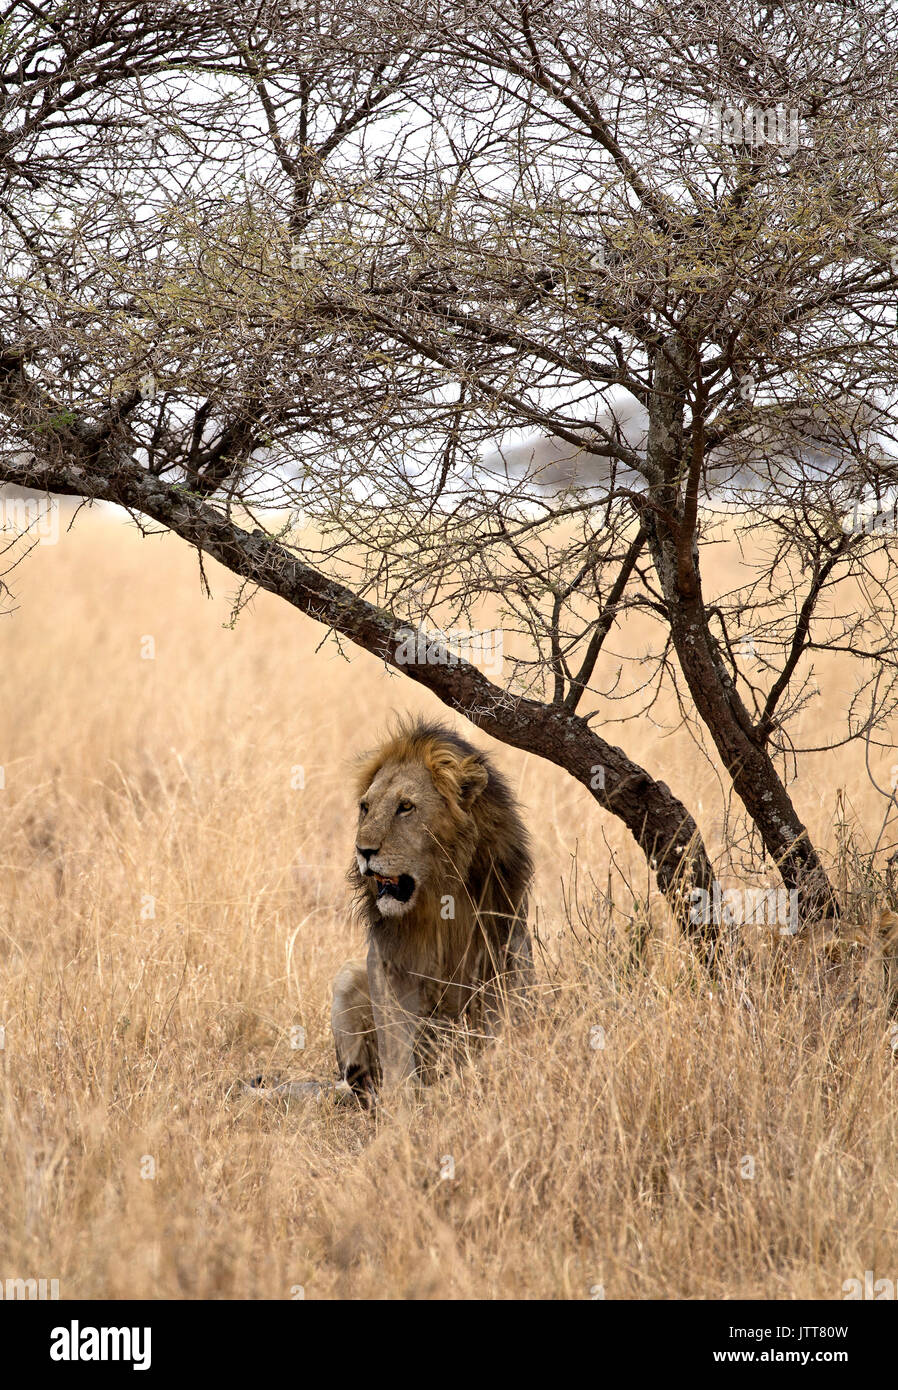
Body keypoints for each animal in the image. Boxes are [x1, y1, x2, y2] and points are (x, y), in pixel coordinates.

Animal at [246, 717, 533, 1106]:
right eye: (365, 807)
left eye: (406, 807)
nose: (363, 850)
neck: (437, 893)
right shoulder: (386, 959)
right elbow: (395, 1043)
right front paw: (403, 1105)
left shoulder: (506, 946)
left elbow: (499, 1028)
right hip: (347, 977)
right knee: (358, 1080)